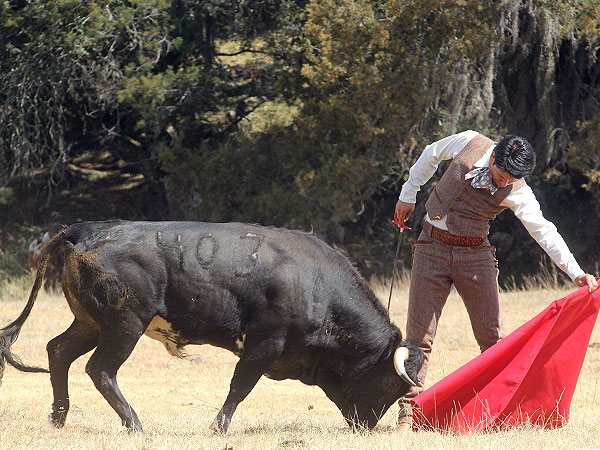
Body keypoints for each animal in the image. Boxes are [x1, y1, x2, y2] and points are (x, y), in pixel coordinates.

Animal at [1, 221, 422, 432]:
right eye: (392, 386)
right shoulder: (264, 345)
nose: (368, 427)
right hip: (124, 325)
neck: (317, 285)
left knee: (59, 351)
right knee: (100, 369)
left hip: (90, 322)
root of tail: (86, 232)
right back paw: (135, 425)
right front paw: (218, 428)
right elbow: (240, 387)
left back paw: (59, 418)